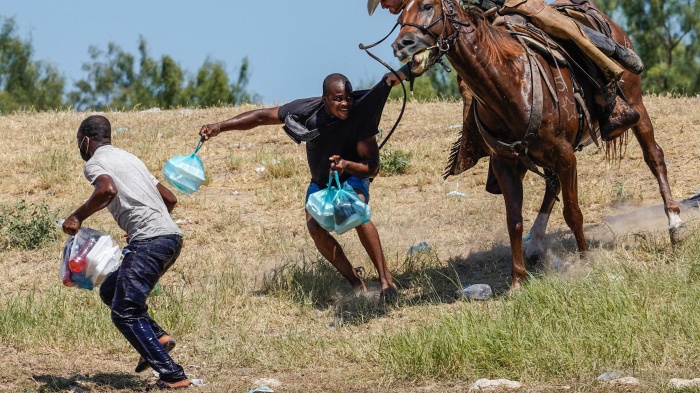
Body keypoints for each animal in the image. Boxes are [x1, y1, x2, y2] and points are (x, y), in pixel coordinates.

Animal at [394, 0, 684, 288]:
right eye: (400, 16)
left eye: (427, 6)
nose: (401, 45)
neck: (508, 82)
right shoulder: (506, 164)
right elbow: (514, 221)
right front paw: (517, 281)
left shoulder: (565, 154)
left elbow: (573, 212)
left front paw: (586, 261)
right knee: (551, 185)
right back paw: (535, 242)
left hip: (635, 104)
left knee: (654, 157)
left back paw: (675, 224)